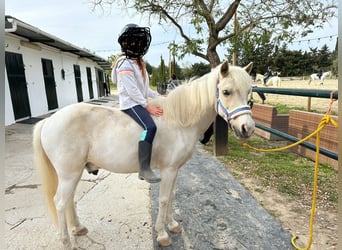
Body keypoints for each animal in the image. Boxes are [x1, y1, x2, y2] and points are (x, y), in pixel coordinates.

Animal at [33, 59, 255, 249]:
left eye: (249, 93)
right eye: (226, 91)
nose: (247, 128)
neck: (179, 121)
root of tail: (49, 120)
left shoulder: (176, 170)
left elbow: (172, 196)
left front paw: (172, 225)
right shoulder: (168, 170)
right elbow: (164, 199)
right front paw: (162, 234)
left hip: (74, 173)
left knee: (69, 199)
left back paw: (78, 228)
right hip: (69, 174)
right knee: (60, 202)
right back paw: (66, 242)